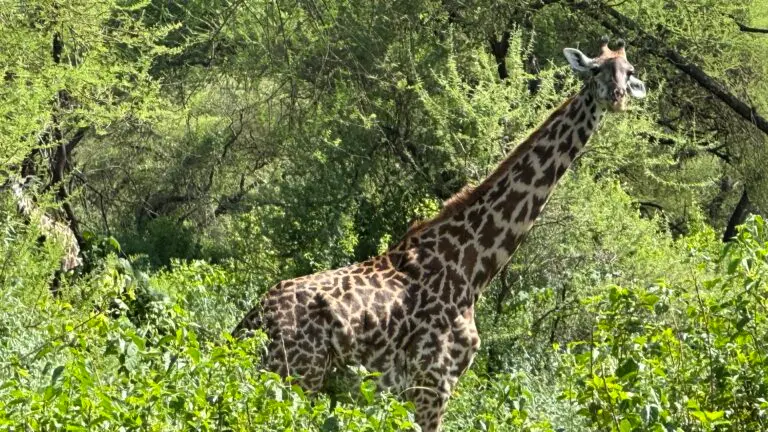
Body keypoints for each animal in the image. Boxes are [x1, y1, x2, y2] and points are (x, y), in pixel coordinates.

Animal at [234, 38, 648, 430]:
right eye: (594, 70)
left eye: (628, 71)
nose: (617, 97)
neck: (474, 266)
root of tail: (250, 324)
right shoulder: (433, 382)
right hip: (295, 378)